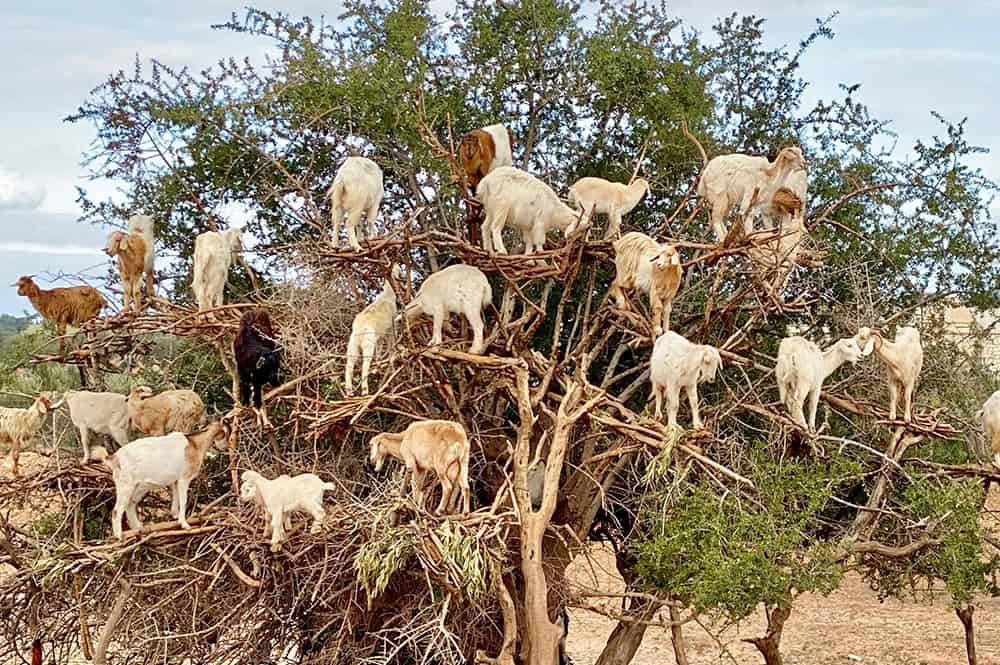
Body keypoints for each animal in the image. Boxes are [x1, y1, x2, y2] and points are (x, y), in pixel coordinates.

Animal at [91, 420, 229, 540]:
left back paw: (139, 529)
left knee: (130, 504)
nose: (225, 448)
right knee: (117, 510)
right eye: (226, 433)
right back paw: (119, 536)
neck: (195, 444)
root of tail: (115, 457)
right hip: (125, 485)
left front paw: (174, 516)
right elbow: (183, 500)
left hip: (139, 487)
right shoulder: (184, 478)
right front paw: (185, 524)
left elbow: (176, 498)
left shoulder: (175, 481)